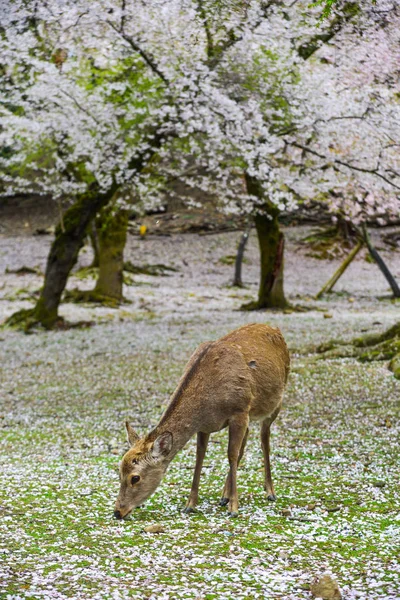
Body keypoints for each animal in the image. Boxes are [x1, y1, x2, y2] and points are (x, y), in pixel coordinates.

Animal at [114, 322, 290, 516]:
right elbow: (200, 456)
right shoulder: (205, 426)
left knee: (264, 440)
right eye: (119, 471)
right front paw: (190, 504)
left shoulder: (239, 411)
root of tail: (274, 329)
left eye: (135, 478)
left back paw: (269, 492)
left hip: (276, 401)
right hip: (250, 415)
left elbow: (231, 454)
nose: (118, 512)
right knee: (246, 441)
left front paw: (234, 508)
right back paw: (224, 495)